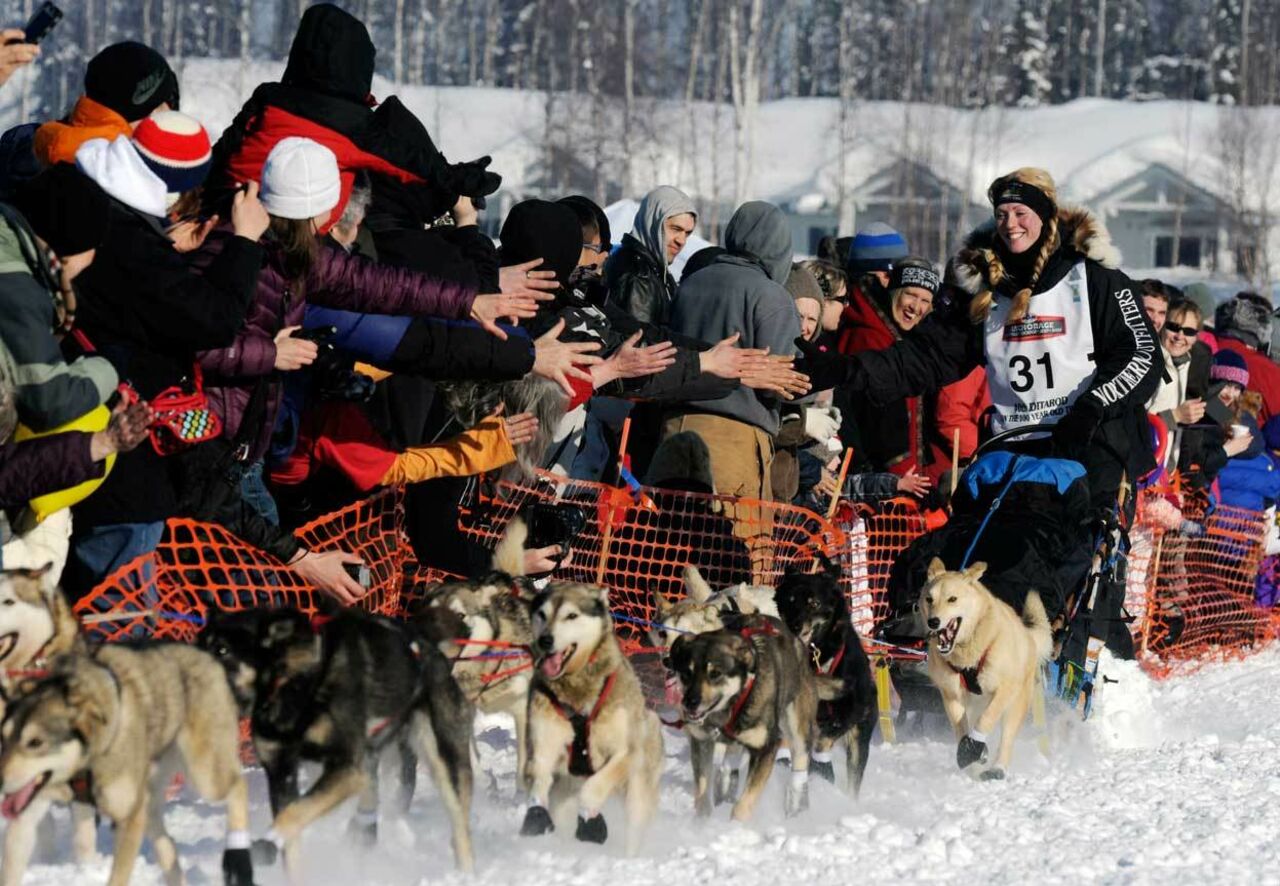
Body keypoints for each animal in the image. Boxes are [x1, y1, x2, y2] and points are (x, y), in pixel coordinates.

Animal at [921, 558, 1049, 778]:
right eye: (930, 599)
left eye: (952, 599)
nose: (933, 621)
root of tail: (1028, 636)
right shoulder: (951, 695)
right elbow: (961, 728)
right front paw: (967, 753)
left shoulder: (1004, 690)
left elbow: (986, 719)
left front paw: (974, 748)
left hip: (1016, 705)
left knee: (1007, 737)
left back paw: (998, 768)